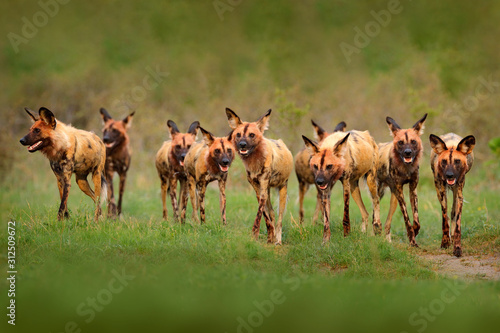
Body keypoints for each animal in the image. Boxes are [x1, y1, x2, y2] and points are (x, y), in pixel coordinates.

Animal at [226, 108, 292, 244]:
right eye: (238, 135)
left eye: (252, 135)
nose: (242, 144)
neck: (254, 161)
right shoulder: (258, 190)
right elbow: (265, 215)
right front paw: (269, 235)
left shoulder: (263, 190)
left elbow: (259, 215)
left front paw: (255, 236)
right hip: (268, 191)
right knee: (272, 213)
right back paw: (273, 237)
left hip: (282, 190)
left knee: (280, 219)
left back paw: (278, 241)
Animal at [376, 114, 428, 246]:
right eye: (400, 143)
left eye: (413, 142)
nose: (407, 152)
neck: (406, 168)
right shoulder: (400, 191)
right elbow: (407, 220)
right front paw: (412, 241)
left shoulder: (412, 189)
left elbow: (416, 221)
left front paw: (414, 233)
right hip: (377, 193)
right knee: (374, 214)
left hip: (394, 198)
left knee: (387, 222)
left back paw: (387, 240)